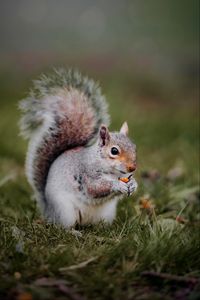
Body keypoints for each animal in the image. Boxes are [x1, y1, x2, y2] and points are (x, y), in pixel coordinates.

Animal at [19, 68, 138, 227]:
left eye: (134, 147)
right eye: (114, 151)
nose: (132, 167)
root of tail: (48, 211)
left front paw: (133, 184)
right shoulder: (87, 174)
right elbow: (95, 187)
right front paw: (117, 185)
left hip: (106, 214)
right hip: (65, 211)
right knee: (63, 226)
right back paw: (73, 231)